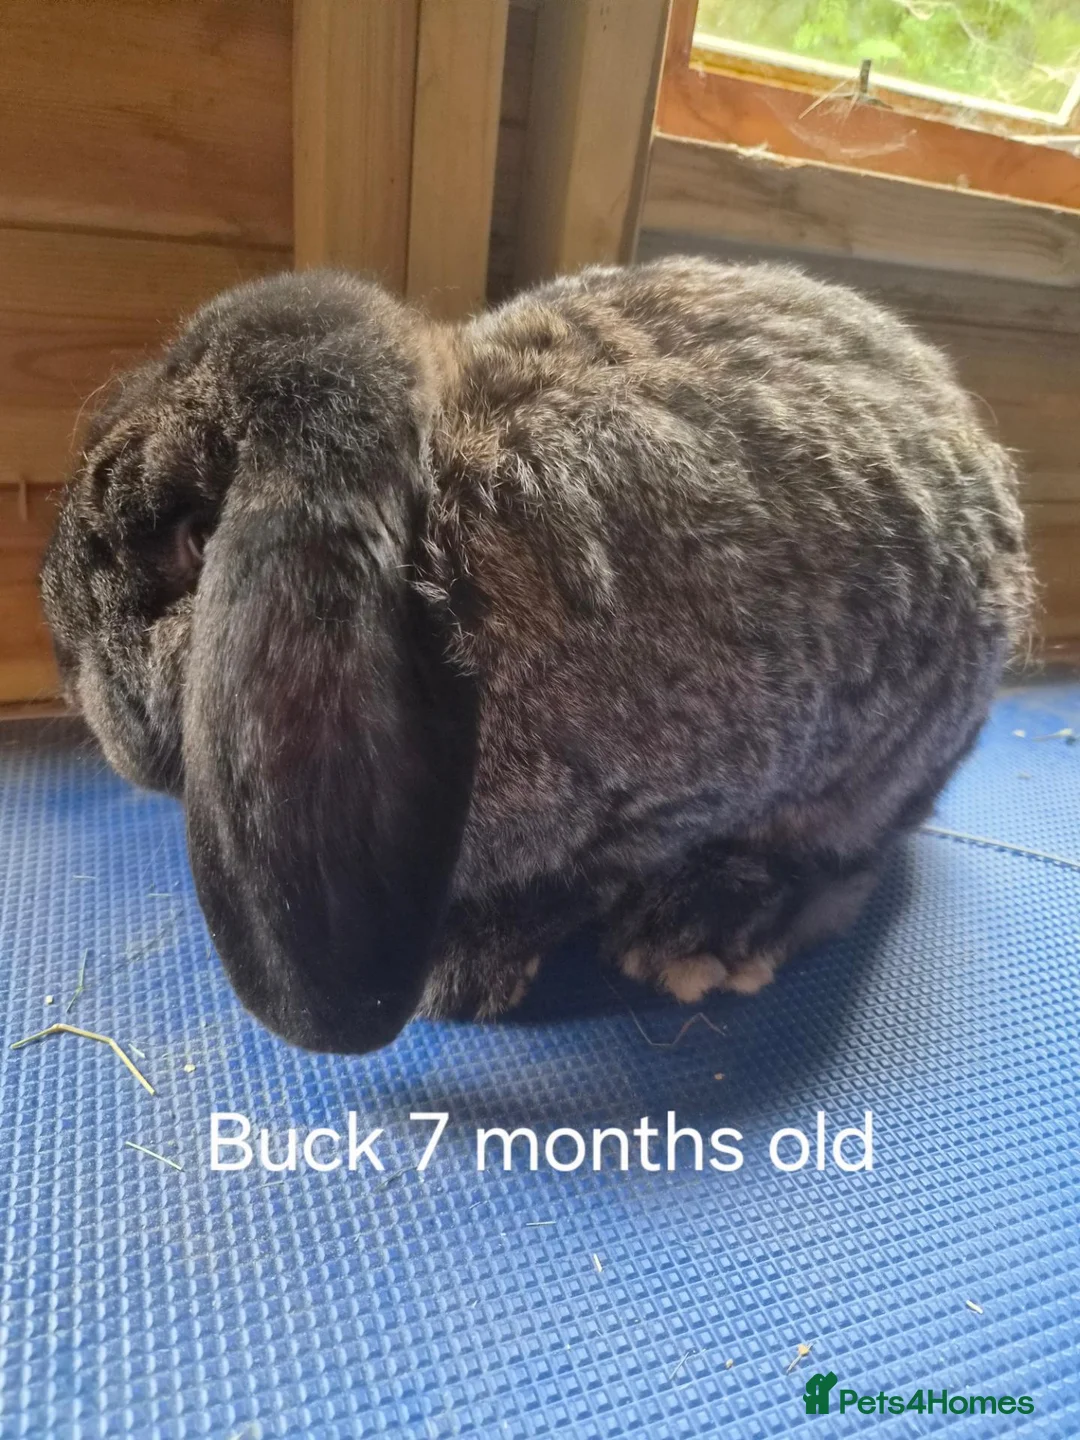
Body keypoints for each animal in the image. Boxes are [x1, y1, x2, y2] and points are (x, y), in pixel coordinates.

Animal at [40, 257, 1033, 1054]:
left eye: (191, 539)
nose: (58, 654)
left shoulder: (664, 797)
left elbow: (571, 884)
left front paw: (462, 970)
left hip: (877, 775)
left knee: (850, 863)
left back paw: (705, 930)